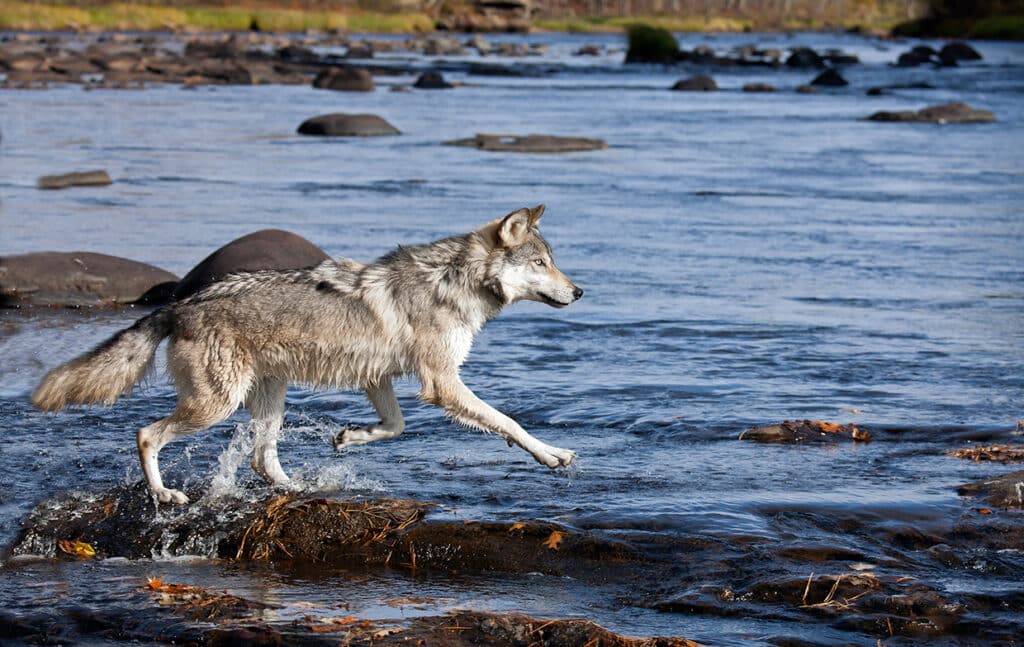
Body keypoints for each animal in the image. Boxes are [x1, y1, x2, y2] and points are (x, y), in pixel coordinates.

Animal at [32, 206, 585, 505]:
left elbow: (395, 426)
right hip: (217, 405)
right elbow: (508, 423)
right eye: (541, 263)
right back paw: (165, 494)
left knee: (260, 460)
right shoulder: (442, 383)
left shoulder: (378, 377)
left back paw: (296, 488)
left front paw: (349, 437)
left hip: (269, 397)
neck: (453, 283)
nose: (579, 291)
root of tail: (180, 304)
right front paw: (551, 454)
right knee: (146, 434)